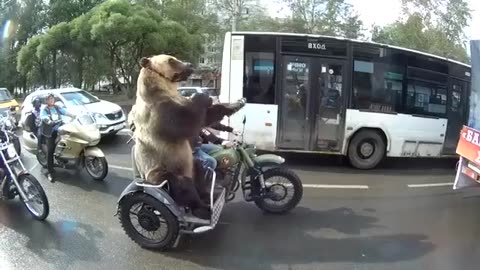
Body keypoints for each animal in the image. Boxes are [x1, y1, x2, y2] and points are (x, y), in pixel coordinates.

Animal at [131, 53, 244, 218]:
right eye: (171, 60)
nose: (190, 65)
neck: (165, 89)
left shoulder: (177, 100)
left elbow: (208, 116)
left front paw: (238, 103)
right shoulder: (160, 113)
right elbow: (186, 123)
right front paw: (203, 96)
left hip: (190, 164)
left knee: (200, 171)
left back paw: (205, 195)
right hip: (161, 171)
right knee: (182, 186)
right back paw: (202, 208)